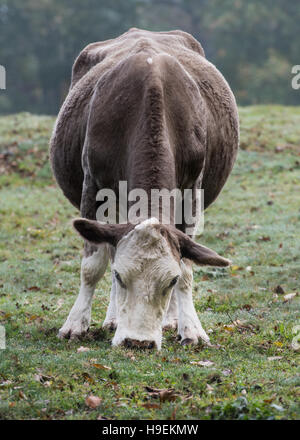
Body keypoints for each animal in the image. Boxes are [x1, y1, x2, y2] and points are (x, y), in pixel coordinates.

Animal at [49, 27, 239, 350]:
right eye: (119, 276)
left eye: (169, 281)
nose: (138, 342)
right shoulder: (93, 185)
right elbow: (93, 264)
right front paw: (75, 324)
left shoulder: (192, 188)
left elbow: (186, 266)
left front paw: (191, 328)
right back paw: (113, 319)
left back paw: (171, 320)